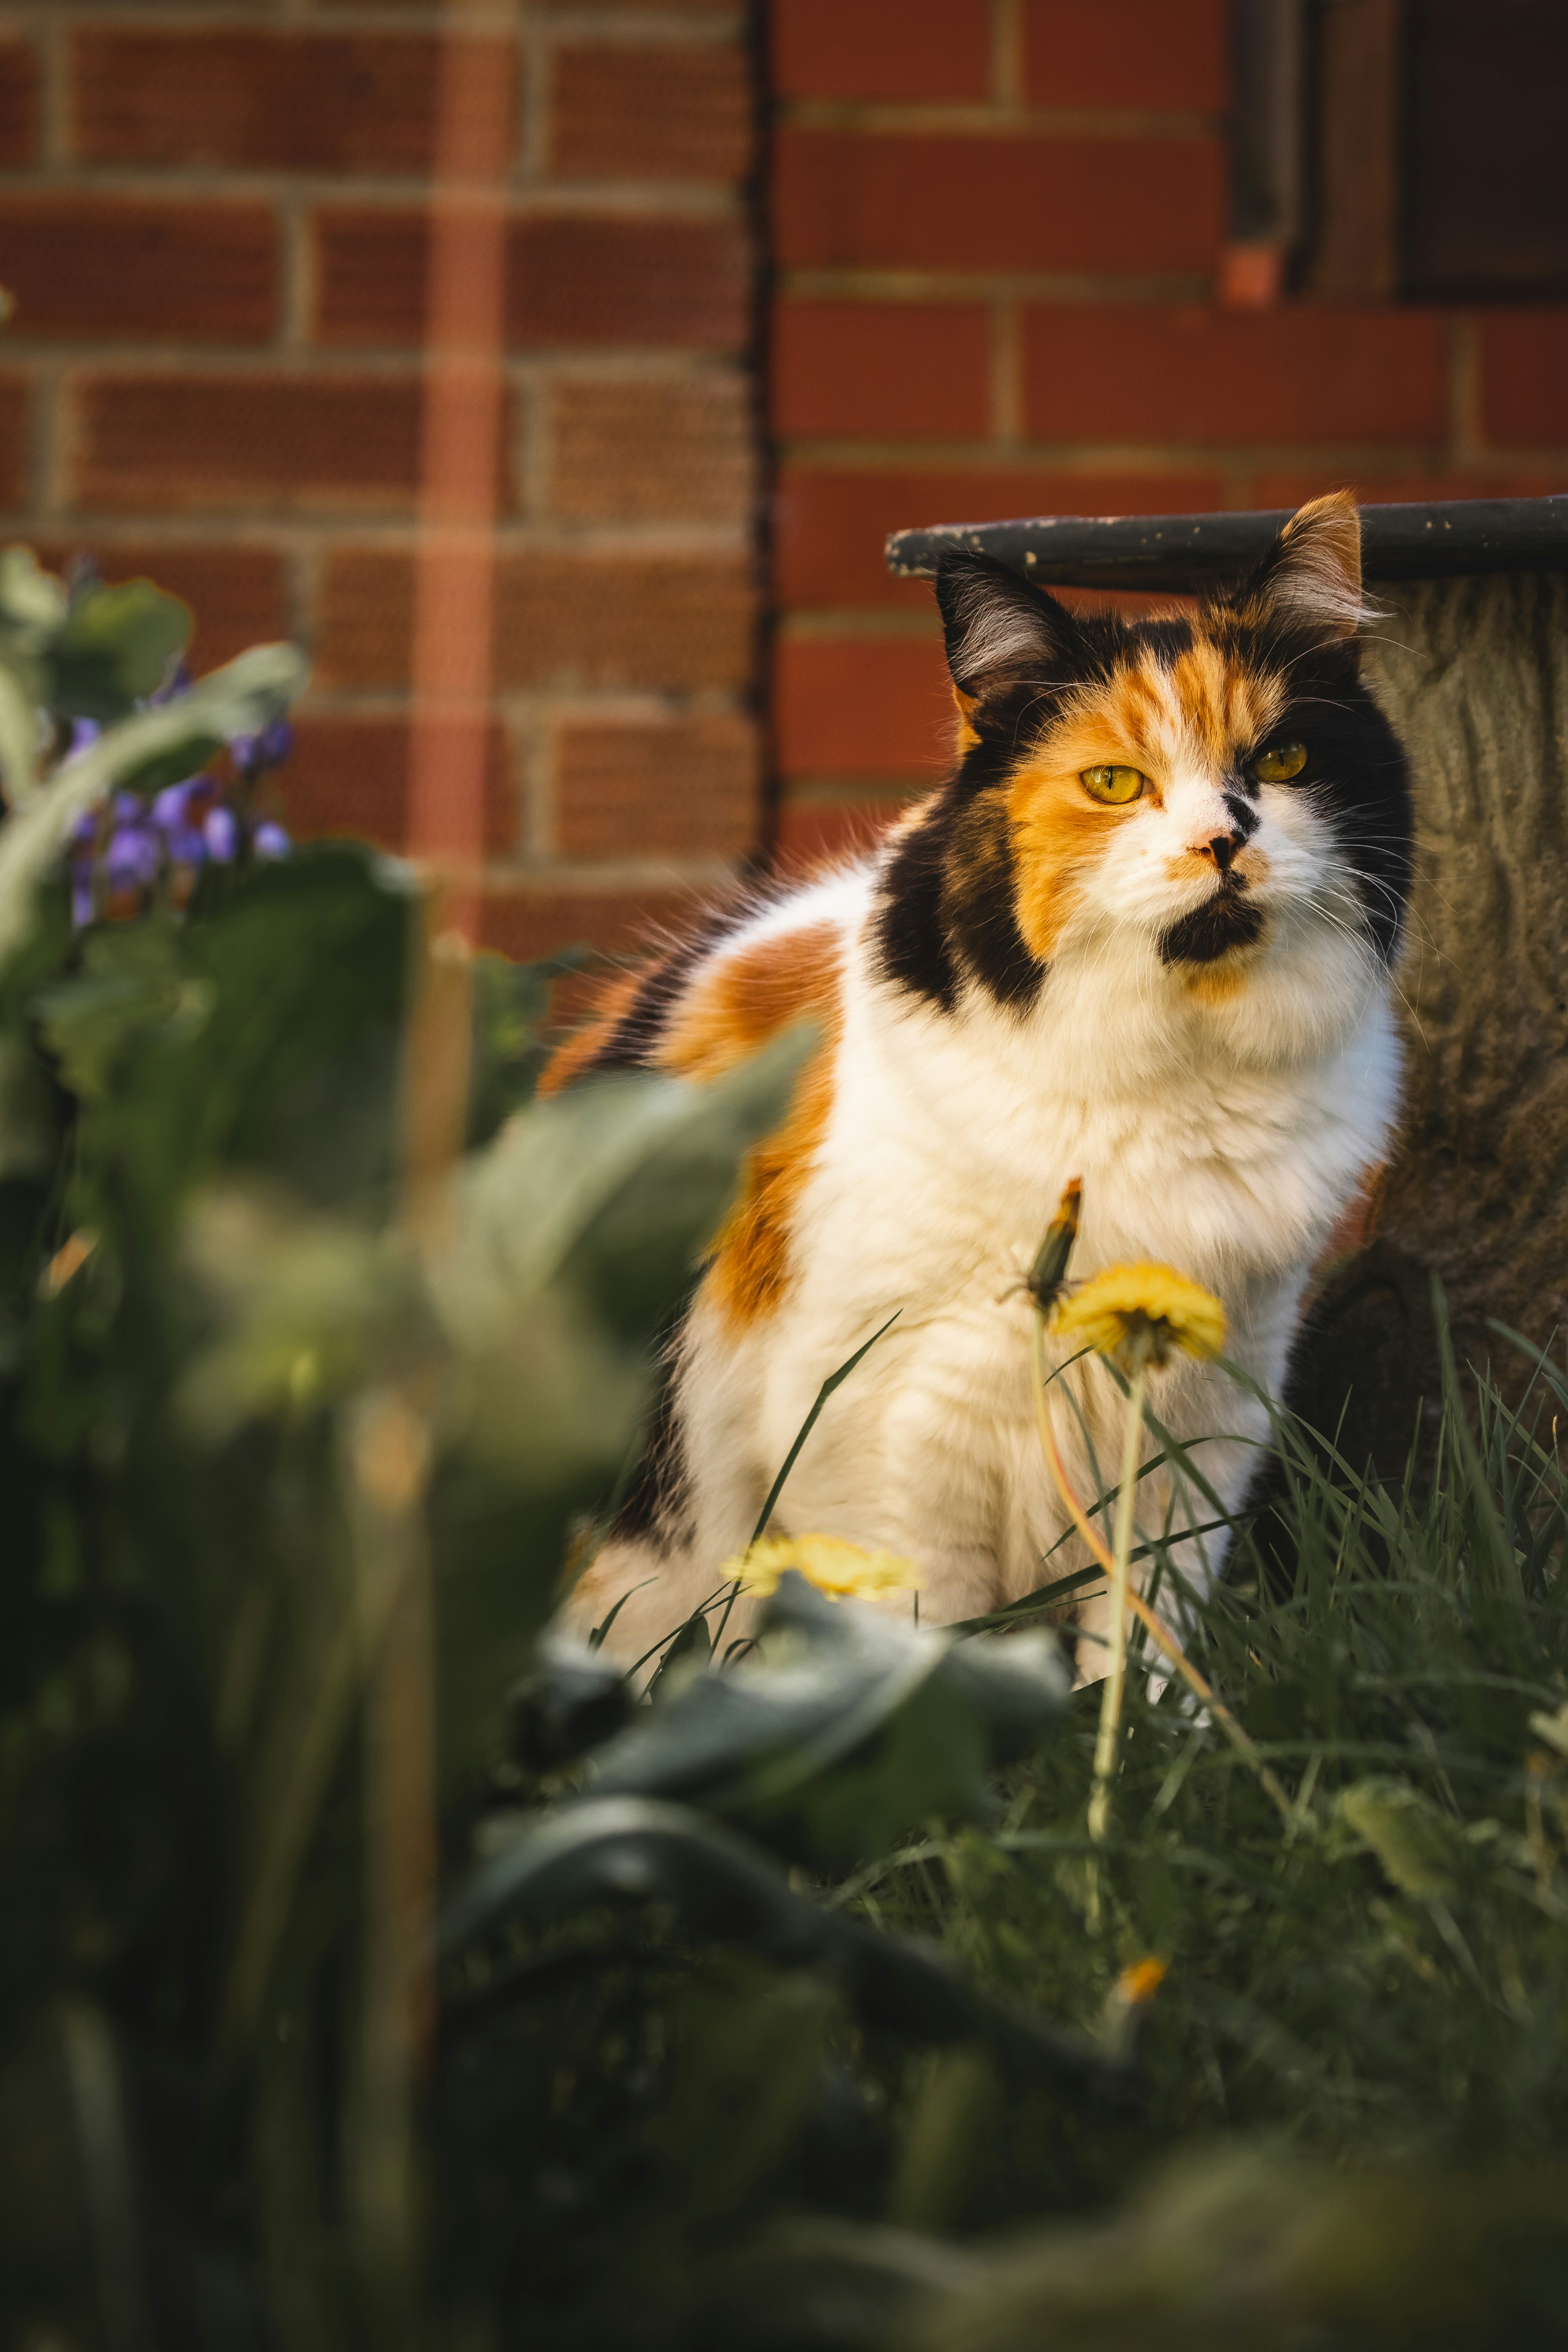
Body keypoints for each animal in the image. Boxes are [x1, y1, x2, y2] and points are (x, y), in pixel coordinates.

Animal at [545, 496, 1420, 1674]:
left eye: (1281, 758)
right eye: (1115, 782)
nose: (1222, 839)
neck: (1169, 1076)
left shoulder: (1205, 1408)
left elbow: (1148, 1635)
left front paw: (1151, 1723)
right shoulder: (884, 1422)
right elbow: (927, 1635)